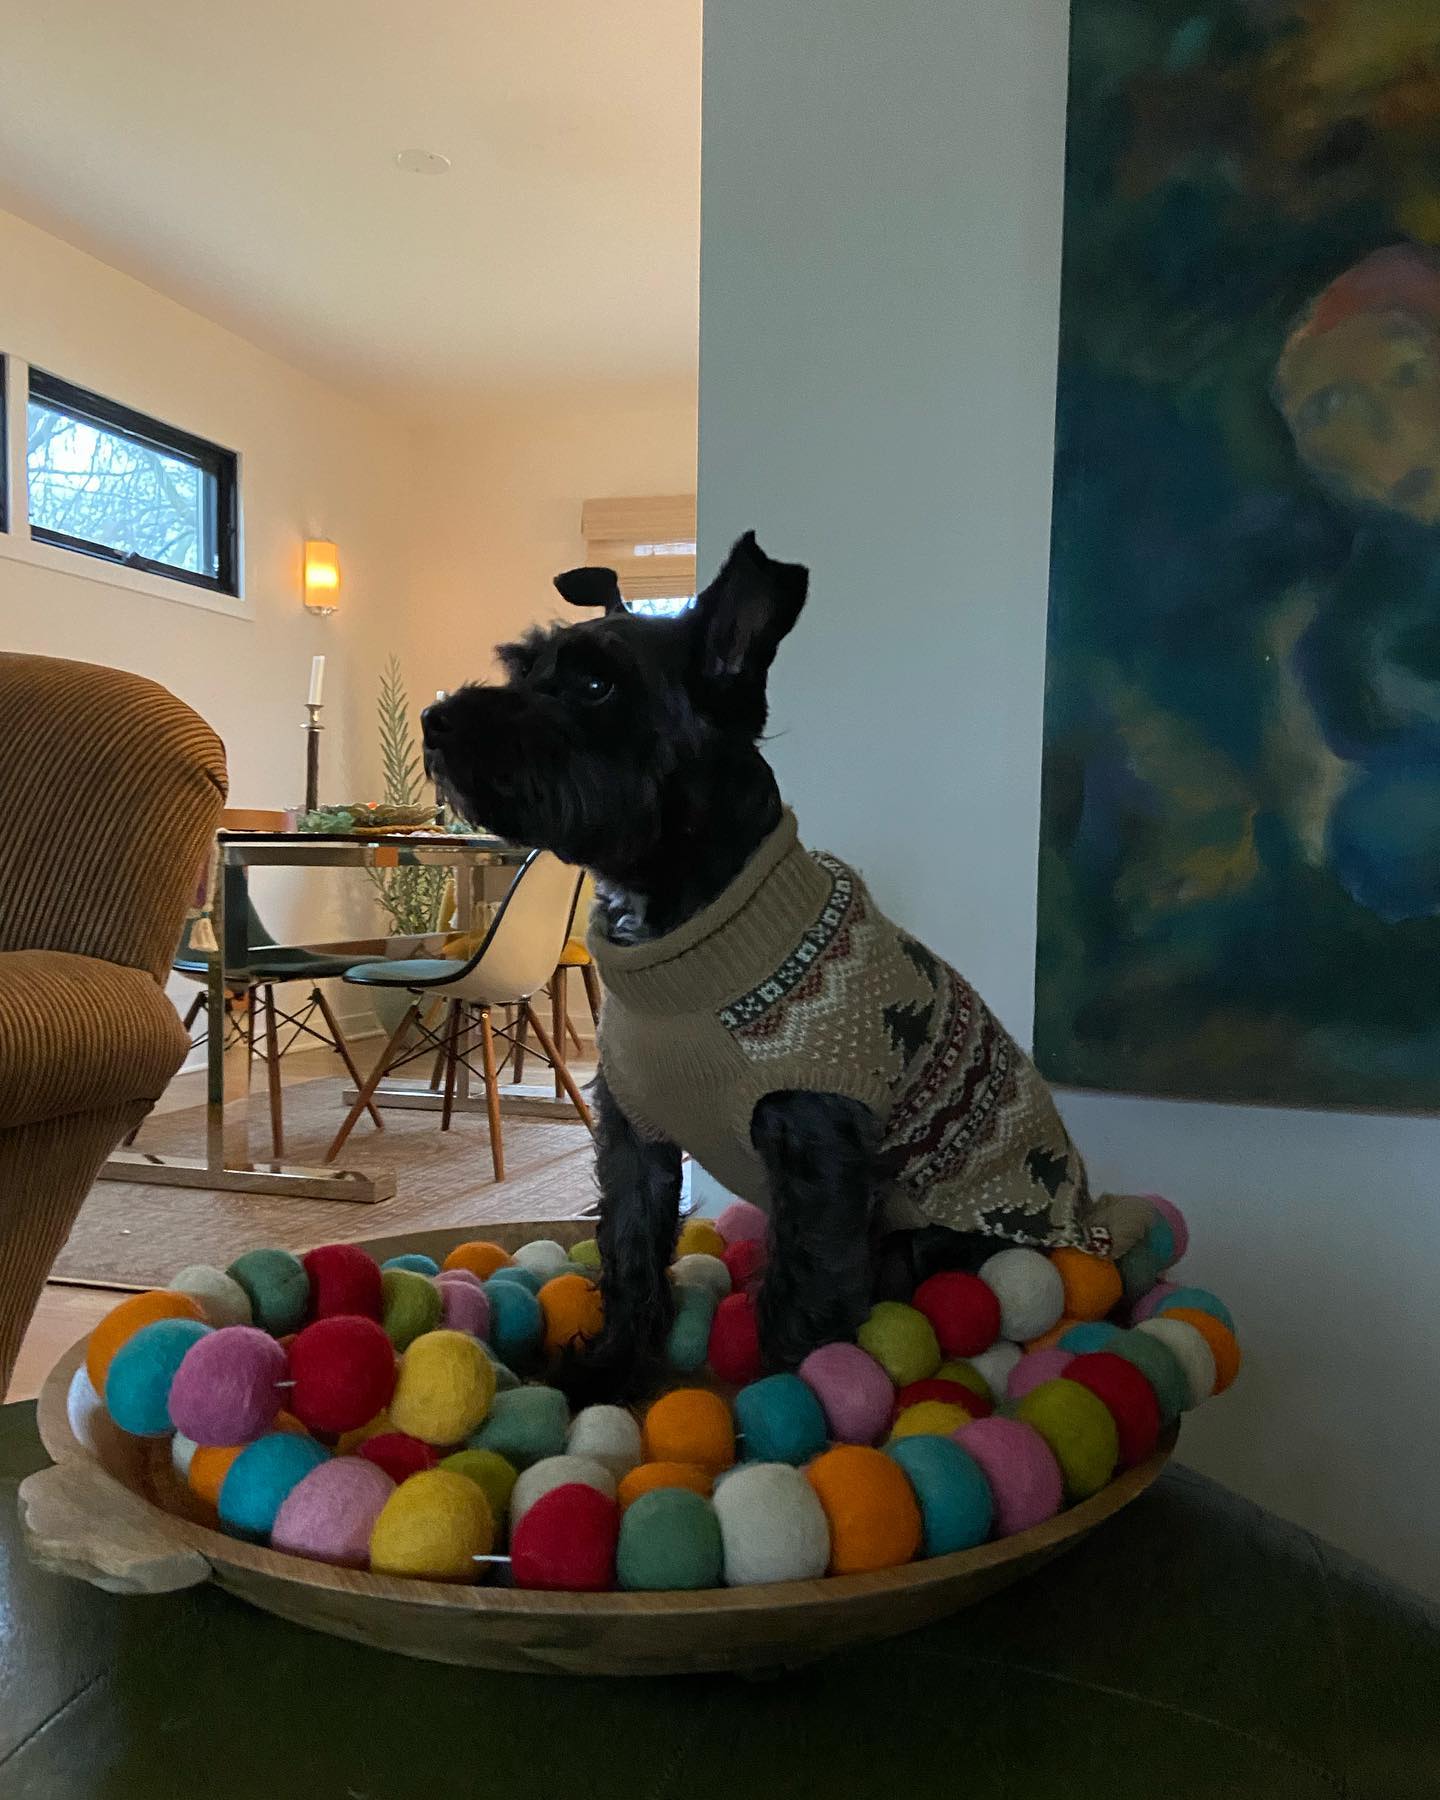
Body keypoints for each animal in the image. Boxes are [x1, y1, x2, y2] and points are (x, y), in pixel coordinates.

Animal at [423, 533, 1147, 1398]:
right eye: (520, 666)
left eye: (596, 684)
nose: (434, 720)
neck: (687, 928)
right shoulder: (636, 1138)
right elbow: (630, 1255)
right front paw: (609, 1371)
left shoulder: (816, 1155)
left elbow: (804, 1295)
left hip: (929, 1239)